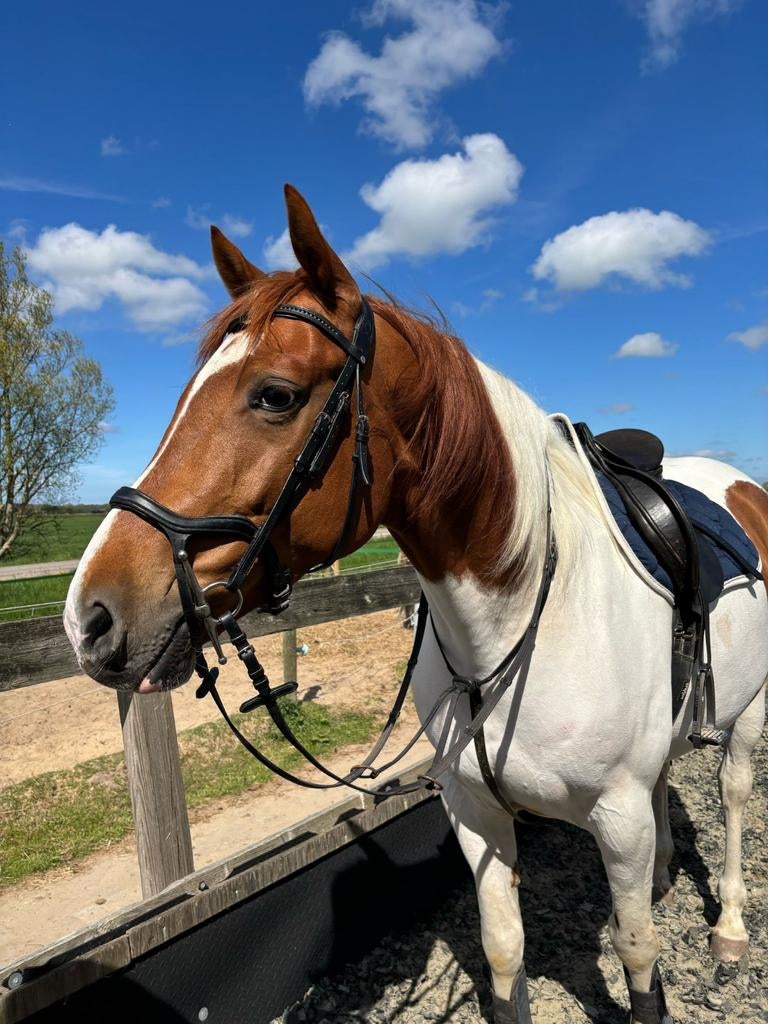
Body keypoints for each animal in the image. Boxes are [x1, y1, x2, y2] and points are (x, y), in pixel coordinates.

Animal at [64, 185, 768, 1024]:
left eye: (276, 395)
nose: (88, 617)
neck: (519, 620)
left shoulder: (617, 819)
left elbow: (637, 957)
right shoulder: (476, 812)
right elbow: (504, 953)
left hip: (747, 716)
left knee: (732, 793)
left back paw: (729, 928)